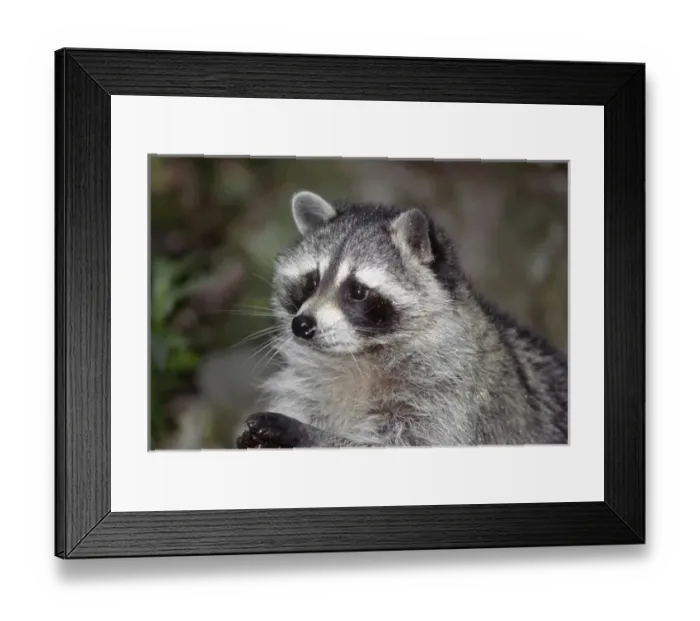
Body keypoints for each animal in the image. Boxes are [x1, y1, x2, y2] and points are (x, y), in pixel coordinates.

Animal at [235, 190, 568, 449]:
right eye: (311, 281)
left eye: (357, 291)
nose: (302, 325)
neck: (359, 358)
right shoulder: (306, 388)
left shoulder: (452, 395)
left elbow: (408, 443)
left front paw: (311, 435)